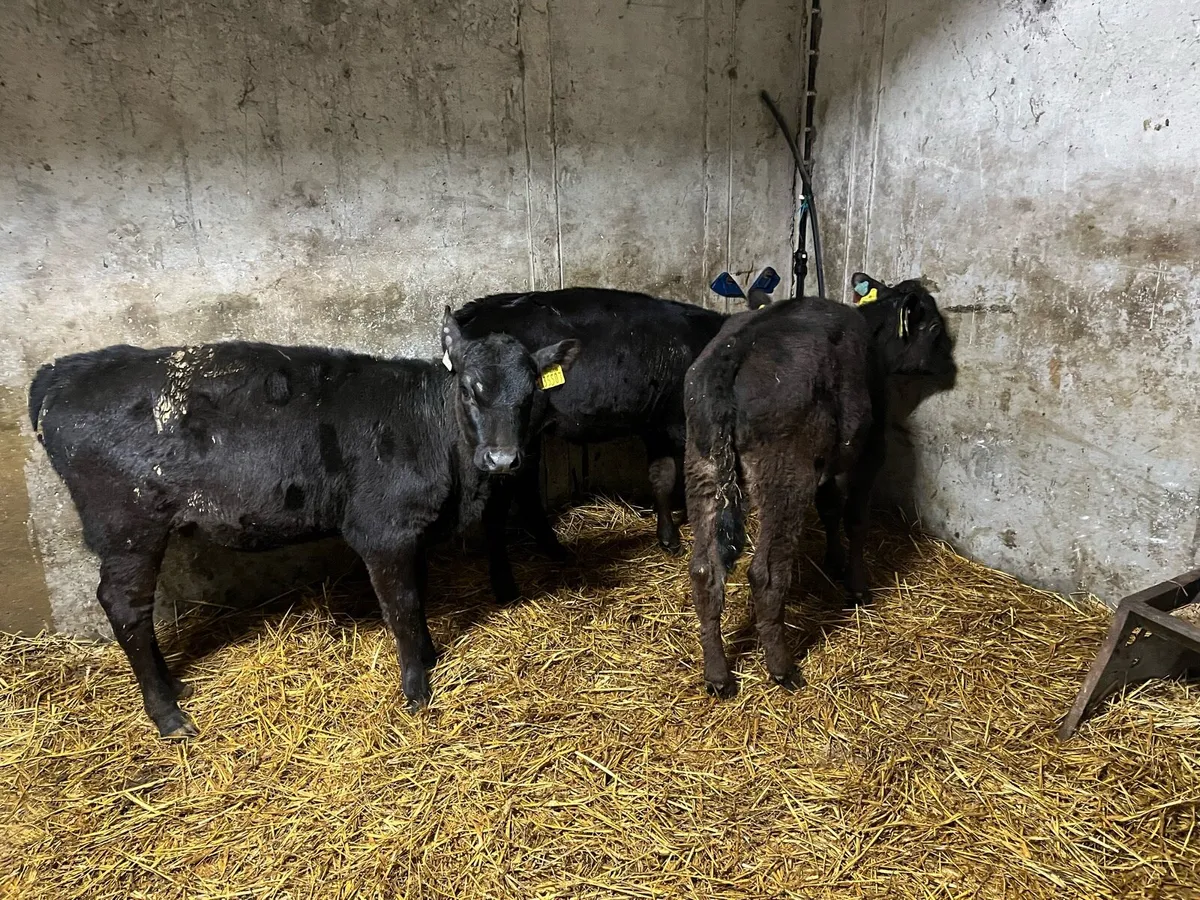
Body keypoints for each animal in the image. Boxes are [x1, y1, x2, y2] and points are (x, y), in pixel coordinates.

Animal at [29, 309, 580, 738]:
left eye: (531, 392)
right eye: (469, 389)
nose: (504, 458)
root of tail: (65, 370)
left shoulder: (412, 529)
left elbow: (417, 594)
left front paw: (428, 657)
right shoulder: (382, 528)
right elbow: (401, 605)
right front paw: (416, 690)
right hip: (127, 527)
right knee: (125, 606)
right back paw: (167, 714)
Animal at [453, 287, 734, 604]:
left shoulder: (656, 425)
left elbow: (662, 478)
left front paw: (668, 538)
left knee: (526, 488)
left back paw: (555, 550)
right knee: (499, 505)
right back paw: (505, 585)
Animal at [683, 273, 956, 698]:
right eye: (935, 328)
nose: (949, 364)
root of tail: (733, 354)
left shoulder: (826, 464)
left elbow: (829, 509)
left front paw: (834, 559)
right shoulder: (870, 449)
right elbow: (855, 519)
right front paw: (857, 585)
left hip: (703, 470)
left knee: (704, 570)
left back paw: (718, 675)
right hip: (784, 478)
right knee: (765, 574)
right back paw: (782, 668)